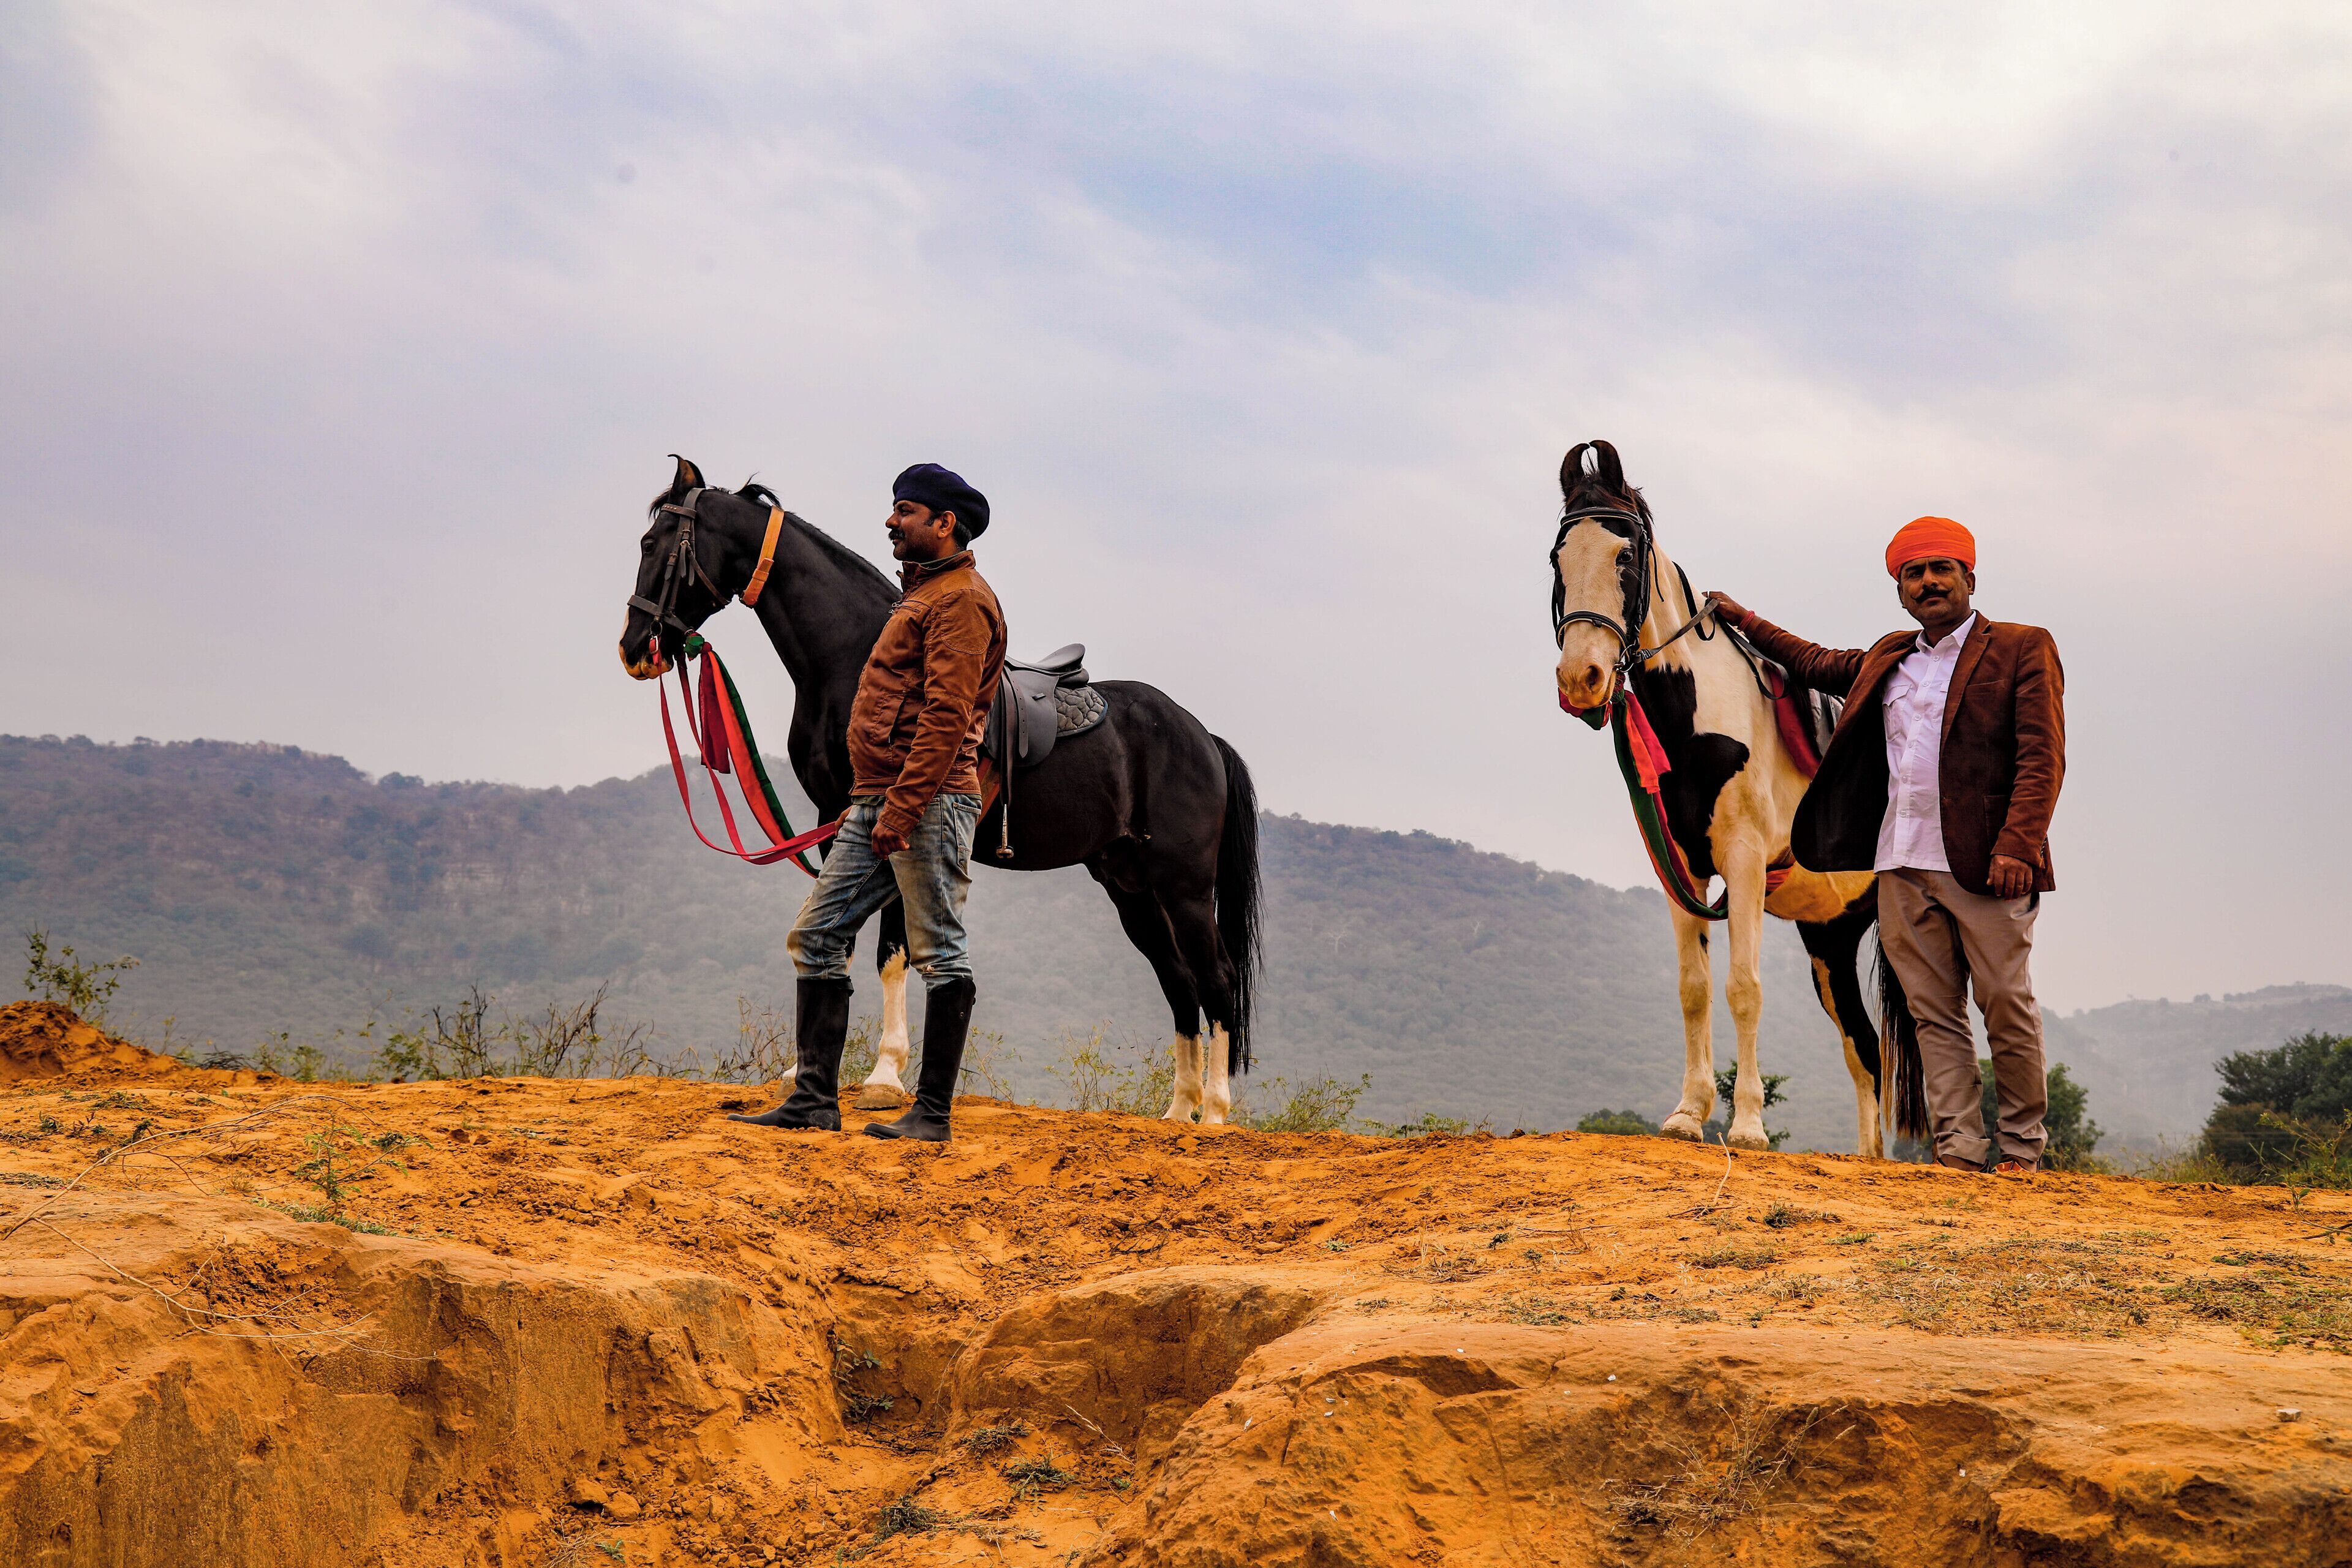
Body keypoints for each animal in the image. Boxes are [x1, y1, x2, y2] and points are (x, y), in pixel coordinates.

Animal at [618, 456, 1263, 1124]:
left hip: (1184, 886)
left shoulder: (888, 824)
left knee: (1216, 978)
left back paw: (1215, 1113)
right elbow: (839, 940)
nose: (635, 648)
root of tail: (1201, 736)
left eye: (651, 544)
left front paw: (884, 1075)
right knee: (1180, 982)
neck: (851, 654)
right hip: (1132, 887)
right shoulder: (836, 820)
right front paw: (803, 1072)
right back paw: (1178, 1114)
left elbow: (892, 952)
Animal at [1549, 439, 1908, 1156]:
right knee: (1865, 1050)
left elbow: (1744, 987)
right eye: (1557, 559)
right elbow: (1695, 989)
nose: (1582, 678)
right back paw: (1869, 1158)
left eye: (1624, 556)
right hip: (1831, 940)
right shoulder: (1682, 870)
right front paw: (1688, 1114)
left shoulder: (1742, 862)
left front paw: (1746, 1126)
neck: (1696, 719)